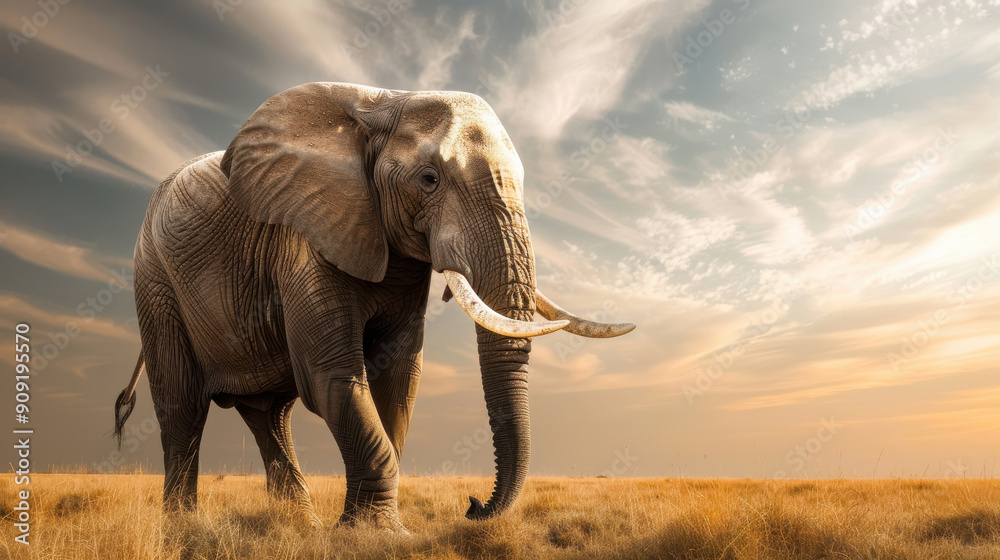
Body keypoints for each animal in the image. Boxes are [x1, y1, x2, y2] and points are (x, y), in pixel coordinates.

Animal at [113, 82, 634, 532]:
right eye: (429, 179)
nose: (472, 504)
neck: (385, 103)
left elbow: (399, 379)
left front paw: (366, 527)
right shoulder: (305, 237)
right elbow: (331, 376)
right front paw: (379, 534)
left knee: (269, 415)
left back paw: (301, 526)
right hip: (155, 280)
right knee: (182, 408)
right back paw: (183, 528)